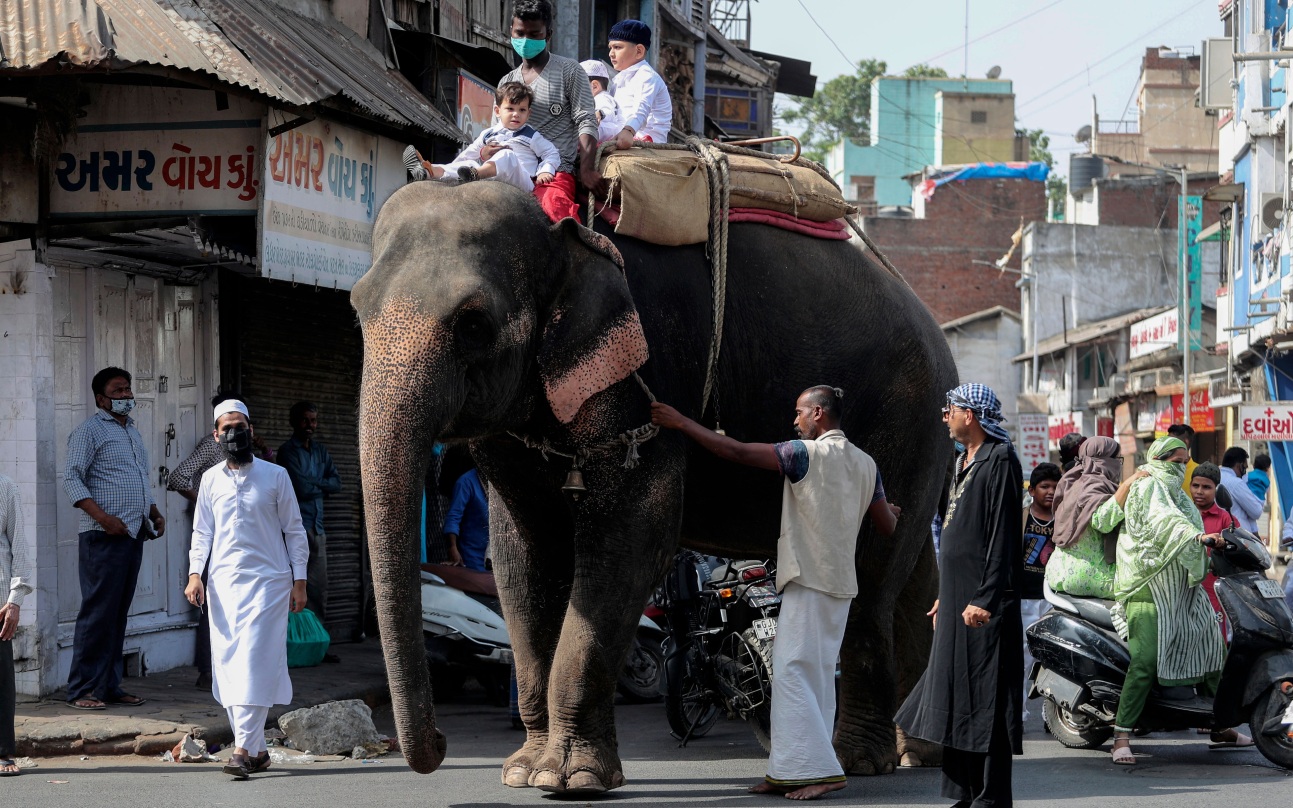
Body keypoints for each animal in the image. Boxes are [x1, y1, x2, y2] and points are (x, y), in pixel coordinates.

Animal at [351, 179, 957, 794]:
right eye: (356, 309)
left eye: (473, 325)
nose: (439, 747)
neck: (563, 235)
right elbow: (522, 558)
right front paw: (523, 772)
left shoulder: (649, 364)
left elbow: (634, 537)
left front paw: (573, 779)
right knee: (916, 574)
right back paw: (914, 752)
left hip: (909, 422)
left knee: (874, 576)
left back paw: (859, 760)